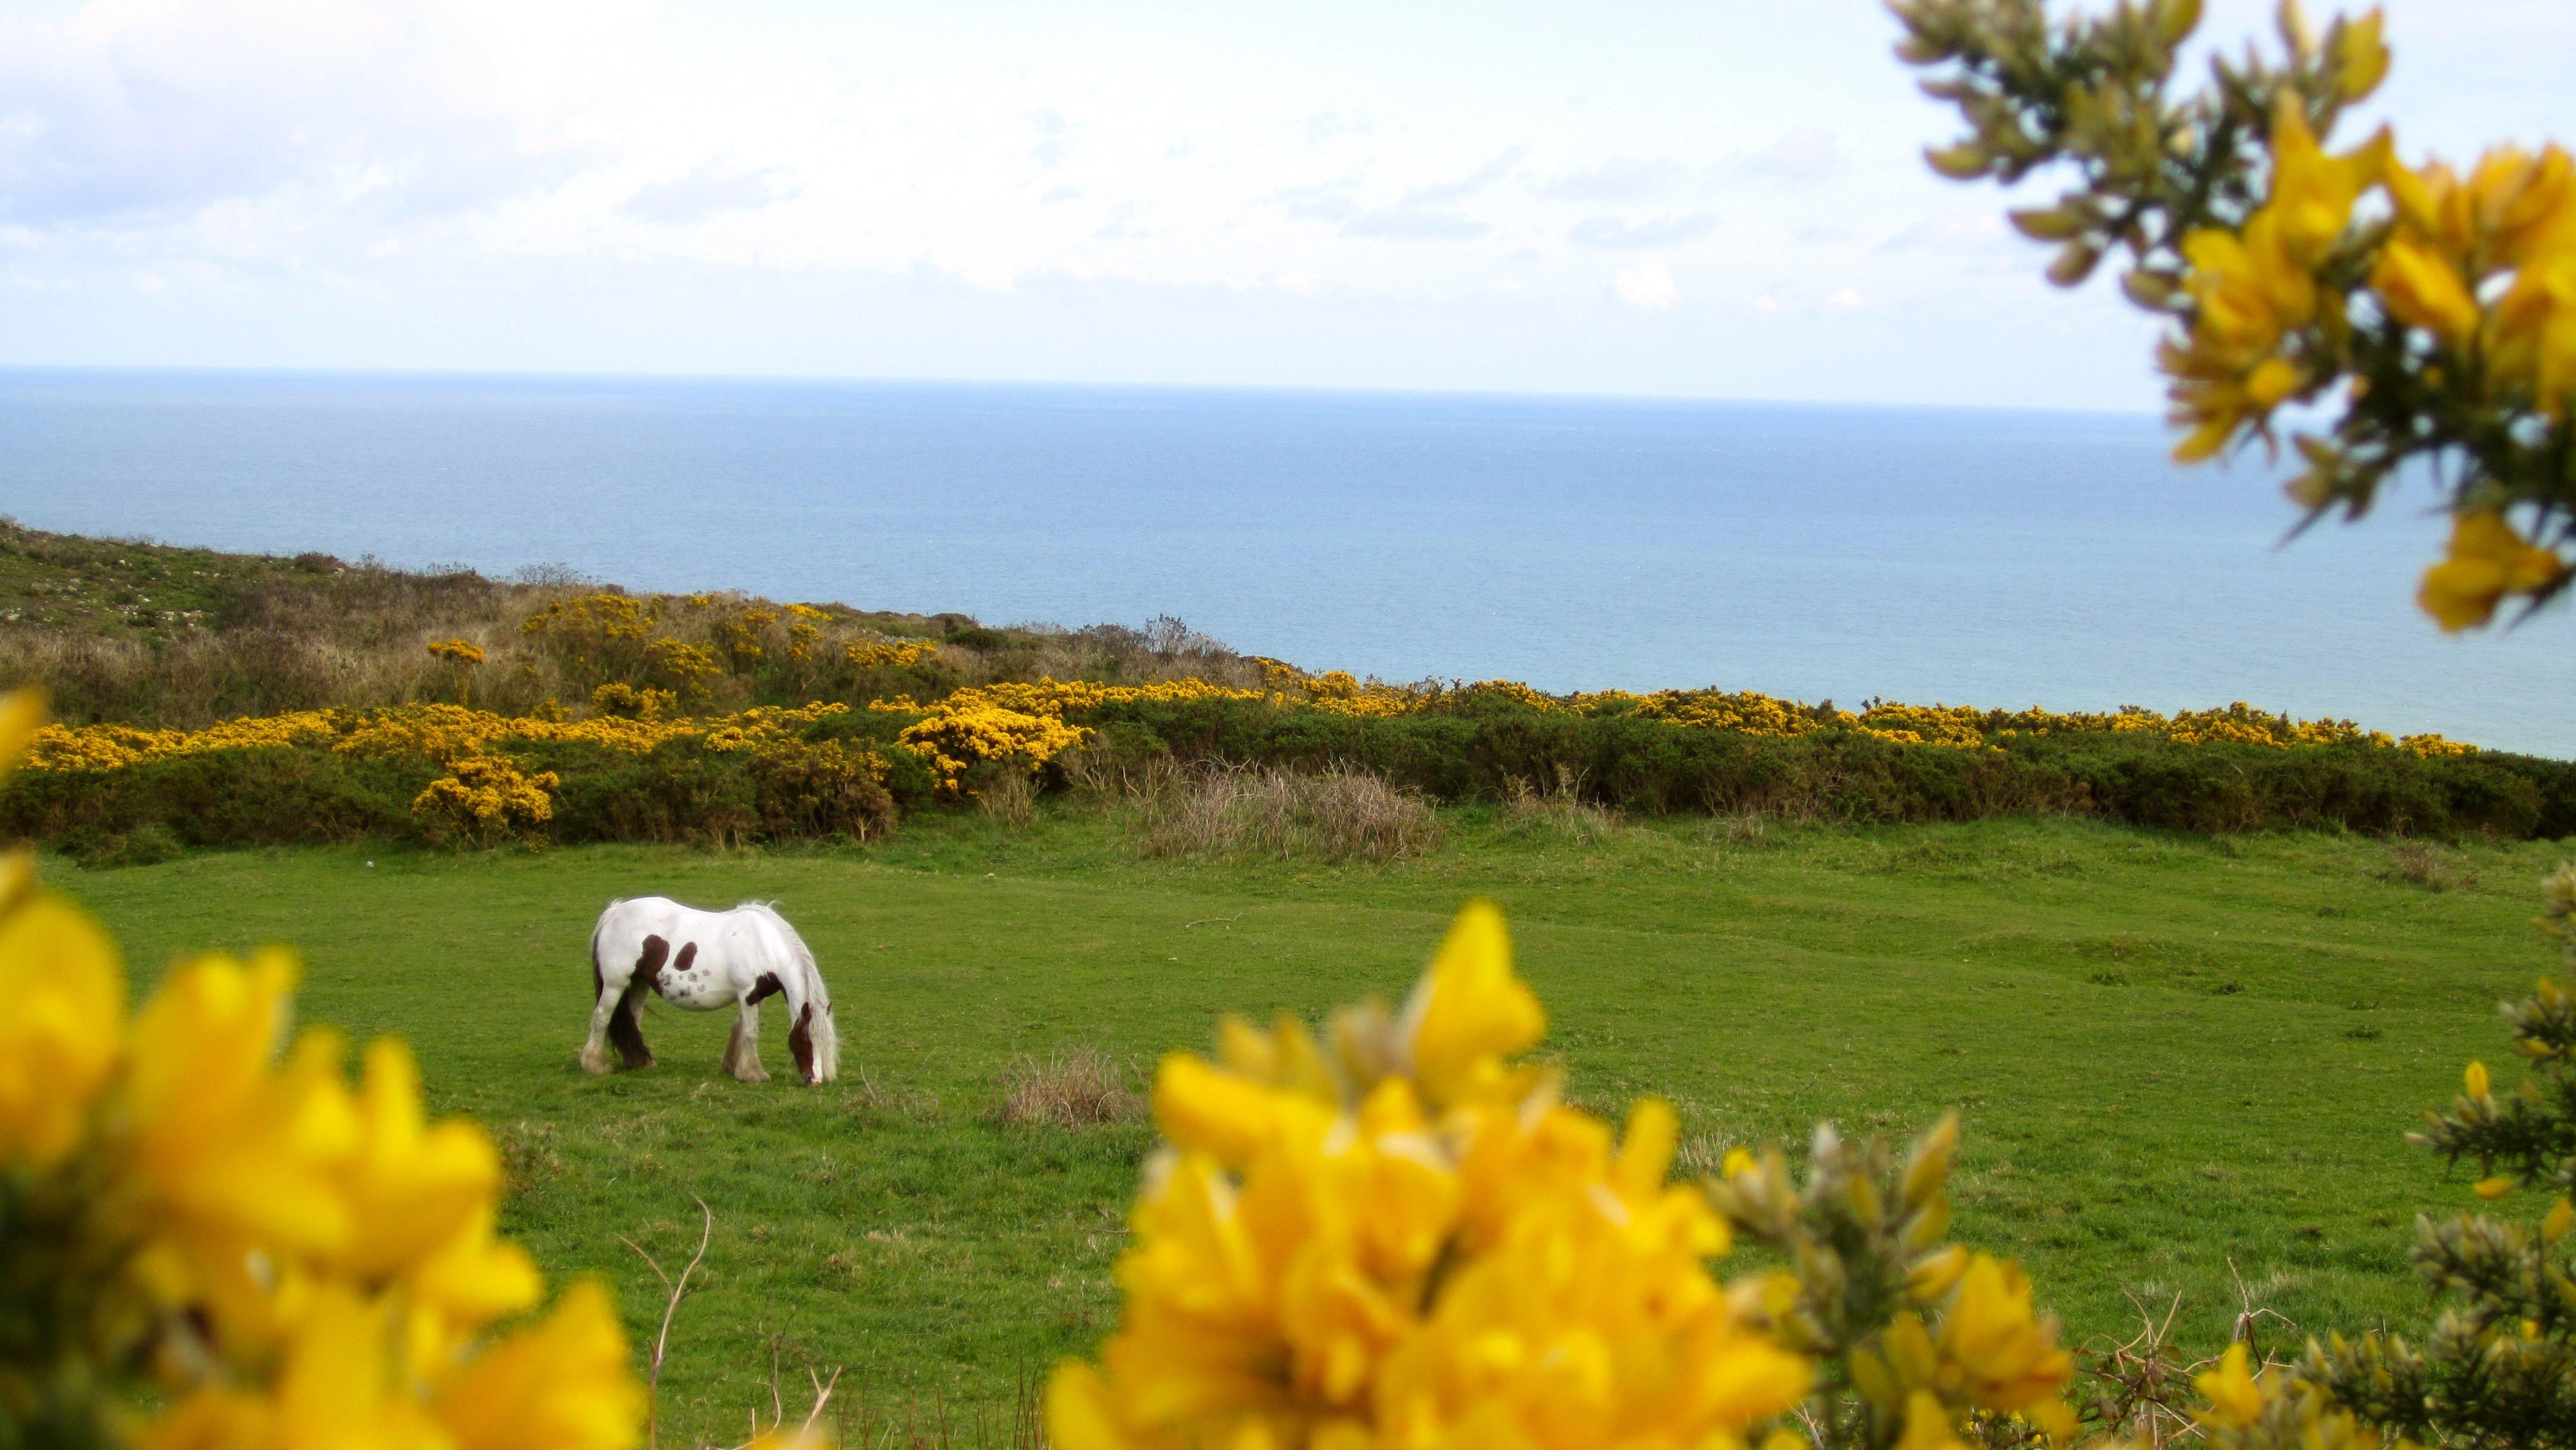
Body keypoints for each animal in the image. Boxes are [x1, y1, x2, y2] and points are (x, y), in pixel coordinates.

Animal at [580, 896, 840, 1092]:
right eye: (807, 1039)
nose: (815, 1080)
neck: (764, 945)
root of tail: (615, 911)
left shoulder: (754, 996)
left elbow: (739, 1031)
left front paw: (733, 1067)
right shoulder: (748, 994)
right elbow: (750, 1034)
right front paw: (753, 1074)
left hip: (639, 983)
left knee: (633, 1021)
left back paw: (639, 1062)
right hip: (616, 983)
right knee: (601, 1018)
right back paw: (595, 1065)